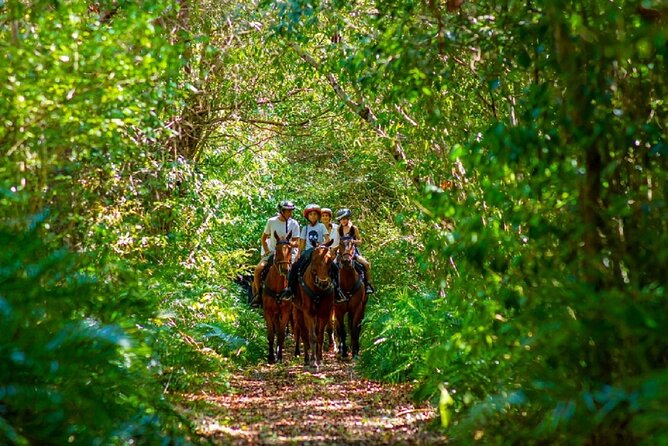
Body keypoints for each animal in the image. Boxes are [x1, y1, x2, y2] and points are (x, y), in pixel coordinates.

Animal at [292, 240, 334, 370]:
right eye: (314, 259)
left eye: (330, 259)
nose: (323, 282)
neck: (318, 290)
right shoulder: (308, 312)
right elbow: (312, 337)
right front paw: (313, 362)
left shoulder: (324, 313)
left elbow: (320, 336)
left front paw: (320, 360)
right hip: (298, 312)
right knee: (304, 334)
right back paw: (306, 360)